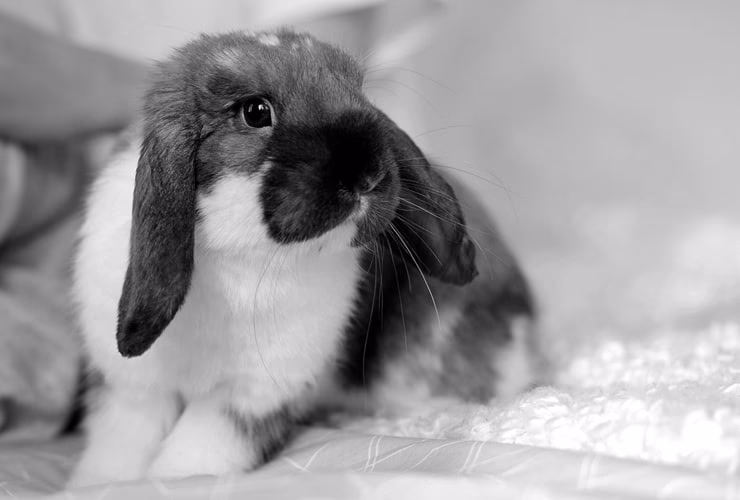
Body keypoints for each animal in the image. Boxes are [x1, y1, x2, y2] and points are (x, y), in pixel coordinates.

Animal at [68, 29, 545, 487]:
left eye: (357, 94)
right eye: (255, 112)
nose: (367, 174)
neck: (234, 256)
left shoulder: (249, 395)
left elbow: (196, 452)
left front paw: (173, 479)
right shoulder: (131, 389)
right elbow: (122, 441)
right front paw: (99, 481)